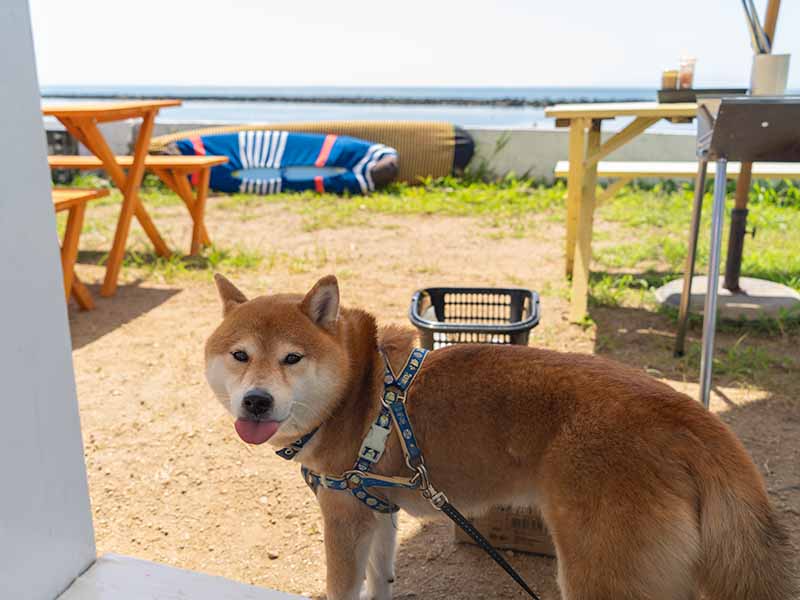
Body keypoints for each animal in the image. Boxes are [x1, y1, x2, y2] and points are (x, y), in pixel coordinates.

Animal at [205, 276, 792, 600]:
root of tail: (685, 414)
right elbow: (381, 579)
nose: (256, 401)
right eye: (240, 356)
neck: (358, 386)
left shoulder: (344, 517)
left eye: (292, 358)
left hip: (602, 573)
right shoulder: (377, 511)